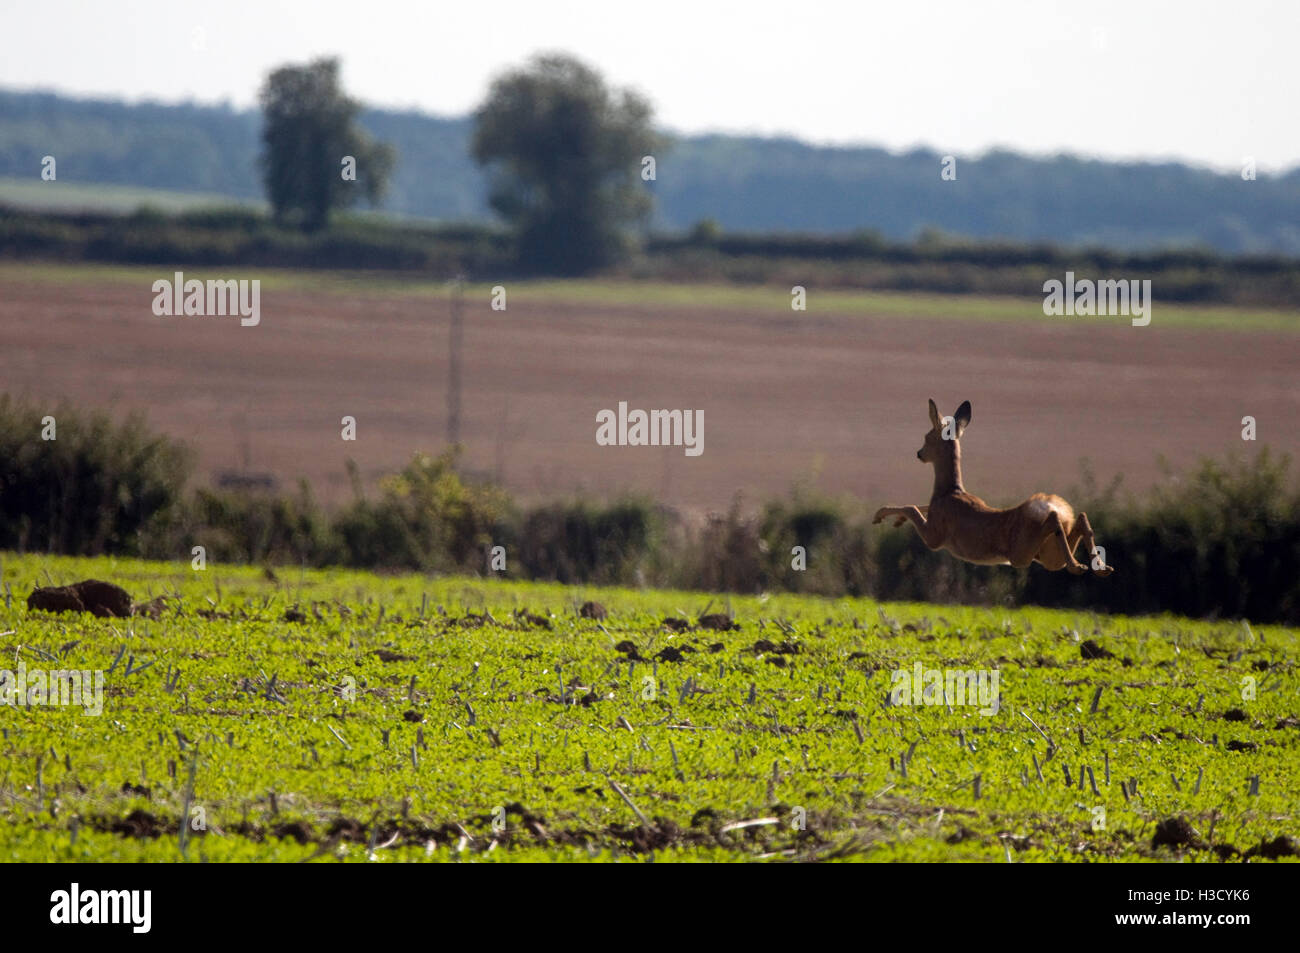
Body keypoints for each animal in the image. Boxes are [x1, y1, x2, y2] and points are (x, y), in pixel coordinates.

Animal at [872, 400, 1113, 576]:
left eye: (927, 437)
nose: (919, 453)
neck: (948, 491)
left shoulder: (935, 536)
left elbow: (912, 507)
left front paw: (879, 515)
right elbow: (919, 505)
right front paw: (894, 520)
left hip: (1021, 552)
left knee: (1055, 521)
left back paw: (1080, 565)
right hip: (1047, 556)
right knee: (1079, 519)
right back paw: (1099, 567)